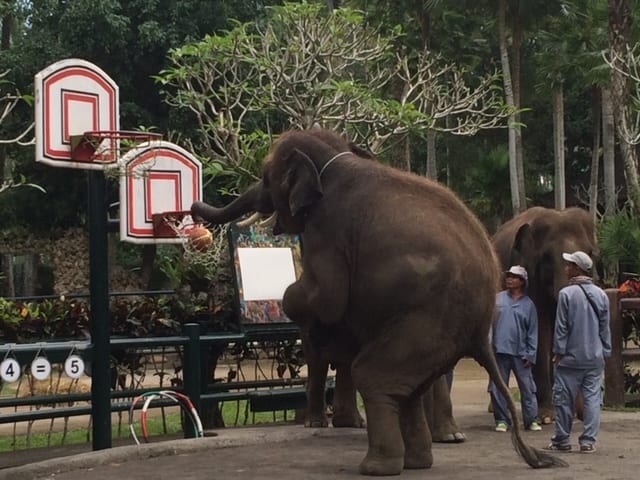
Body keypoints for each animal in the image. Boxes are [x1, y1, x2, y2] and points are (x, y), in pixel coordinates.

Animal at [191, 128, 564, 476]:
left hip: (424, 324)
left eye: (267, 177)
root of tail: (482, 329)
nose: (193, 210)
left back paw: (375, 467)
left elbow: (328, 297)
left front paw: (291, 302)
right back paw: (417, 462)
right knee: (408, 388)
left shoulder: (326, 231)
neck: (335, 157)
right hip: (437, 338)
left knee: (373, 376)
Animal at [492, 208, 596, 422]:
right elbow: (539, 329)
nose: (581, 416)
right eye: (547, 257)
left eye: (590, 253)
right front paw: (547, 417)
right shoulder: (530, 275)